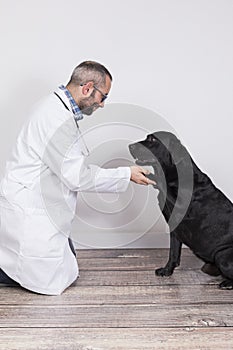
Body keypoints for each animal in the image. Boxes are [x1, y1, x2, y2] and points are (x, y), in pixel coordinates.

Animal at [128, 131, 233, 290]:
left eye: (152, 139)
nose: (130, 146)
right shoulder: (175, 228)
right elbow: (173, 253)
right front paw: (167, 271)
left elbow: (161, 182)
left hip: (222, 255)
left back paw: (227, 284)